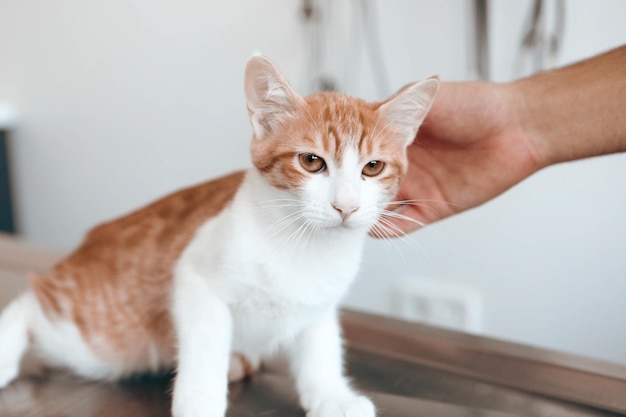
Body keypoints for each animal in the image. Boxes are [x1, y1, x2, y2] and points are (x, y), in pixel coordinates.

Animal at [0, 55, 436, 416]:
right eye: (312, 161)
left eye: (373, 167)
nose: (346, 206)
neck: (305, 244)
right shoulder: (195, 278)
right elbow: (205, 348)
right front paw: (200, 403)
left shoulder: (320, 303)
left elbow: (320, 347)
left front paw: (331, 396)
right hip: (103, 337)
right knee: (32, 303)